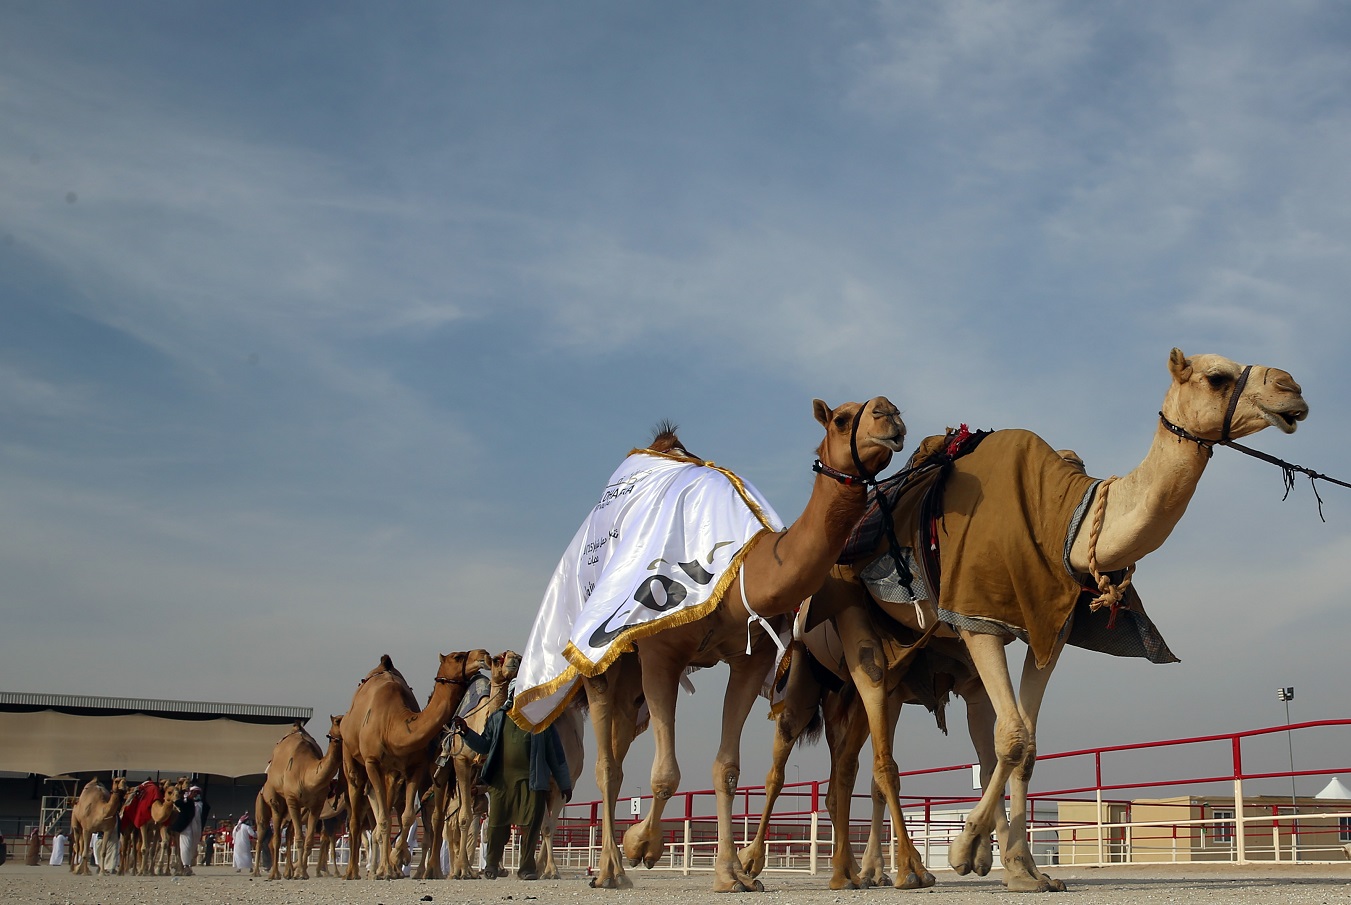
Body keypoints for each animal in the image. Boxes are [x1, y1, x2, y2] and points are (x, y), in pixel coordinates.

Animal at [255, 718, 345, 880]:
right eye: (337, 721)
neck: (306, 773)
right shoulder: (293, 801)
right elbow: (300, 839)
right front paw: (301, 873)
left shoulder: (317, 806)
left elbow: (309, 841)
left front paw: (302, 872)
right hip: (272, 802)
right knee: (270, 836)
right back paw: (268, 873)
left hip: (288, 813)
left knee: (286, 836)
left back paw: (287, 872)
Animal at [340, 648, 489, 880]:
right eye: (457, 656)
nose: (483, 654)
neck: (393, 724)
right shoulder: (373, 762)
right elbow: (385, 819)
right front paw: (387, 867)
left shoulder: (415, 768)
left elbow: (408, 817)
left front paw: (398, 860)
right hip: (352, 760)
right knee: (357, 815)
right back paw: (354, 871)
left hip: (394, 775)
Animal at [575, 399, 902, 891]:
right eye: (842, 419)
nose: (890, 415)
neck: (744, 571)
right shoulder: (661, 653)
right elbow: (666, 774)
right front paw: (642, 846)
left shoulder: (751, 658)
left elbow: (726, 769)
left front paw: (731, 874)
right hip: (604, 661)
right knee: (606, 761)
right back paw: (612, 870)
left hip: (630, 680)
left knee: (619, 740)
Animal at [853, 348, 1307, 891]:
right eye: (1217, 377)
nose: (1292, 390)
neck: (1062, 521)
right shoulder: (977, 614)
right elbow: (1013, 735)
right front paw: (963, 850)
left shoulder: (1050, 625)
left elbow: (1025, 744)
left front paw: (1025, 871)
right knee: (872, 739)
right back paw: (886, 871)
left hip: (921, 659)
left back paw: (889, 868)